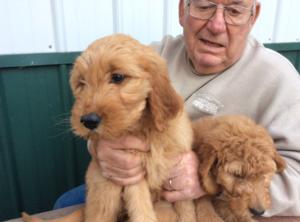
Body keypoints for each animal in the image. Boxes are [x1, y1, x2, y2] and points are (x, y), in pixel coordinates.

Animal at [22, 33, 195, 222]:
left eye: (117, 77)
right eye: (81, 82)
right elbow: (142, 211)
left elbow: (186, 209)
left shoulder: (177, 174)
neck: (145, 130)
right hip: (106, 190)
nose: (88, 121)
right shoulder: (131, 175)